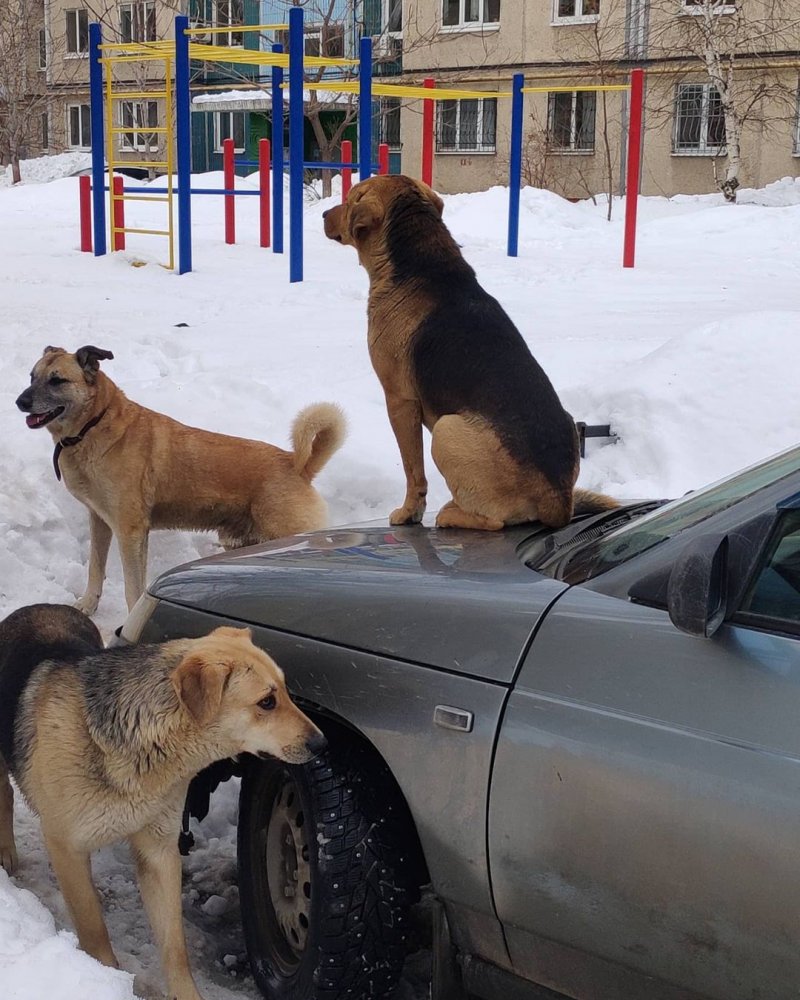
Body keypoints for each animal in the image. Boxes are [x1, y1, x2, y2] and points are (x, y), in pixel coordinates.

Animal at [0, 600, 326, 1000]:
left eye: (286, 692)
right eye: (266, 702)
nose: (322, 744)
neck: (147, 746)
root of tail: (42, 605)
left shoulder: (159, 850)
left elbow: (174, 946)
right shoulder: (67, 847)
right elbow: (94, 930)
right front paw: (108, 980)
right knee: (5, 792)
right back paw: (6, 852)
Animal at [15, 352, 346, 616]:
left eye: (57, 380)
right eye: (32, 376)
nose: (20, 402)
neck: (94, 424)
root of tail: (298, 465)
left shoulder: (130, 531)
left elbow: (133, 588)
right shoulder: (100, 521)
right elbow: (95, 568)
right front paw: (87, 605)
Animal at [322, 174, 616, 532]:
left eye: (351, 198)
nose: (323, 214)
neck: (421, 264)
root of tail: (559, 500)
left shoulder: (400, 402)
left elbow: (413, 469)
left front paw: (409, 513)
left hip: (446, 430)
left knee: (493, 521)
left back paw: (449, 513)